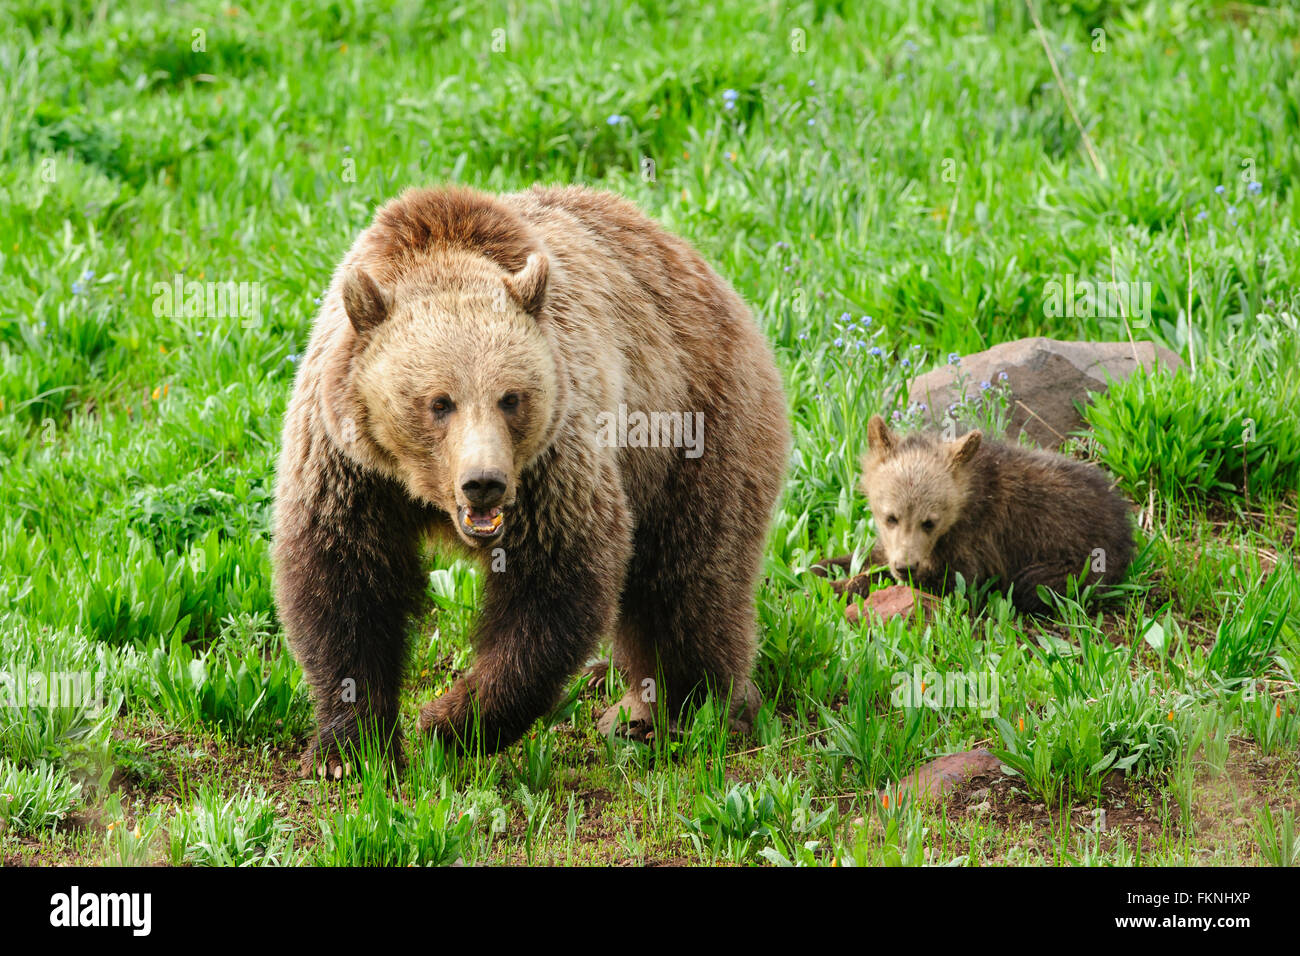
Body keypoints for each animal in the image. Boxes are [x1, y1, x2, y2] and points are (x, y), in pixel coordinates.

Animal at [271, 184, 790, 775]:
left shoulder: (553, 459)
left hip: (694, 427)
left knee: (687, 582)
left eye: (510, 397)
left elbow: (557, 581)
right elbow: (343, 581)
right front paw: (349, 748)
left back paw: (687, 709)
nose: (484, 482)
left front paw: (449, 723)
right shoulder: (347, 465)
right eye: (438, 402)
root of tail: (714, 277)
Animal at [815, 416, 1134, 614]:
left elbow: (953, 582)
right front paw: (820, 571)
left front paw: (837, 587)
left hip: (1080, 562)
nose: (906, 566)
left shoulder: (975, 540)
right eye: (890, 517)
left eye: (929, 522)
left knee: (1031, 584)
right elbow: (862, 556)